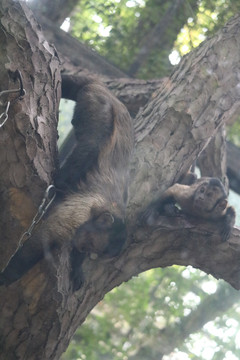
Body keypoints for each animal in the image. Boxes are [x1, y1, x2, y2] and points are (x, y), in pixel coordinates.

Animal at [0, 74, 134, 290]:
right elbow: (44, 238)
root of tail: (107, 91)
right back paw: (61, 183)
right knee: (94, 139)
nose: (84, 250)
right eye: (91, 246)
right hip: (97, 102)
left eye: (93, 254)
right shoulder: (80, 212)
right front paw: (6, 277)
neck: (106, 210)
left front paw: (78, 266)